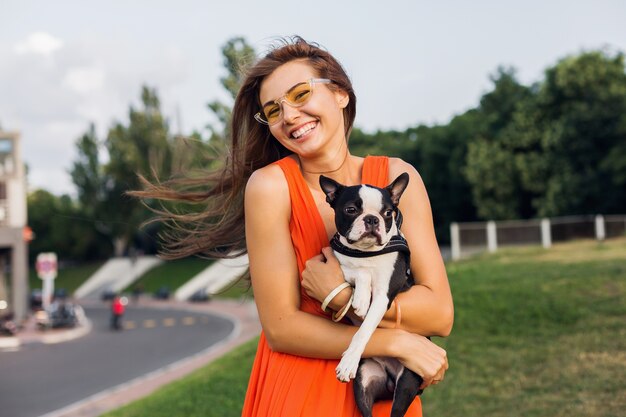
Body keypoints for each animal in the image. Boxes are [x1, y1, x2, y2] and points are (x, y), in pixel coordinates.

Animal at [320, 172, 422, 416]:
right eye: (350, 210)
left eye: (388, 213)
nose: (372, 219)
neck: (366, 254)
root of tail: (390, 378)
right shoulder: (337, 263)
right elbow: (359, 271)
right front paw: (361, 296)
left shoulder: (385, 295)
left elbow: (364, 331)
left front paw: (348, 362)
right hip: (364, 382)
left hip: (407, 381)